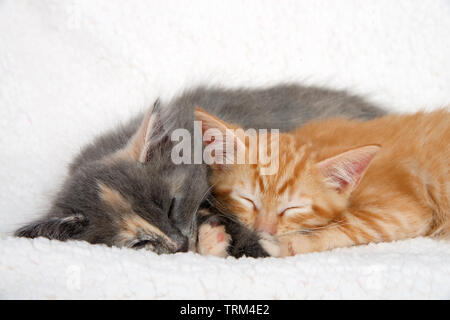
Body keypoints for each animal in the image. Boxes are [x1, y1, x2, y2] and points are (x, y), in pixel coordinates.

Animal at [196, 108, 450, 258]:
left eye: (293, 208)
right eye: (247, 199)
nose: (264, 230)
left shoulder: (405, 211)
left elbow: (352, 223)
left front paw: (287, 245)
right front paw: (211, 241)